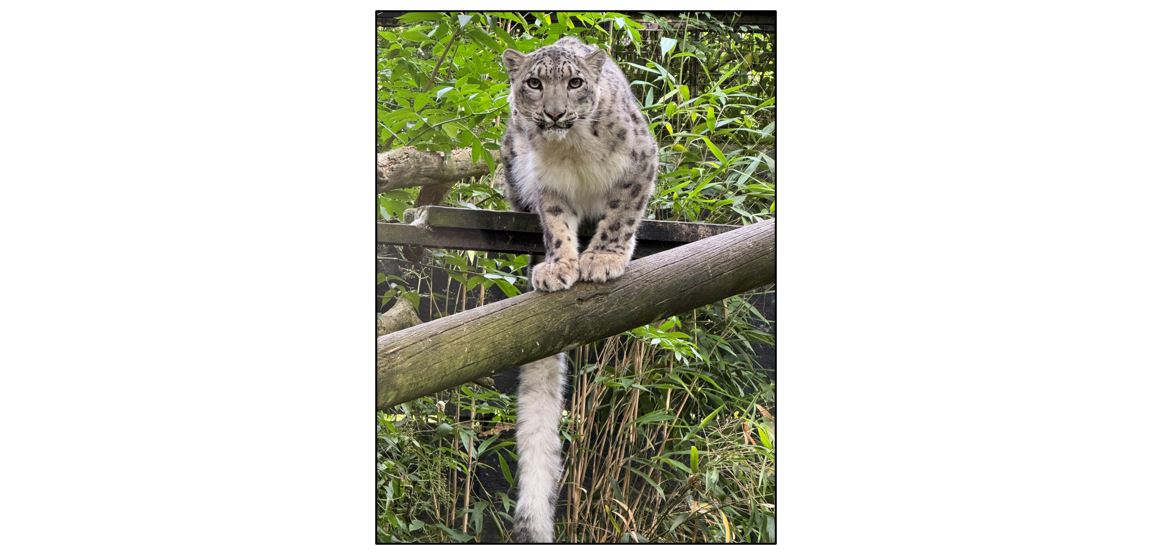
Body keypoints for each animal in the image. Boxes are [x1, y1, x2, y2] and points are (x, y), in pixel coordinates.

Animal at [498, 36, 658, 543]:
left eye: (574, 82)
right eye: (534, 82)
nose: (553, 113)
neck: (571, 151)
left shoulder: (639, 164)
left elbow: (621, 215)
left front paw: (602, 259)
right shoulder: (548, 188)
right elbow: (556, 227)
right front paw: (560, 266)